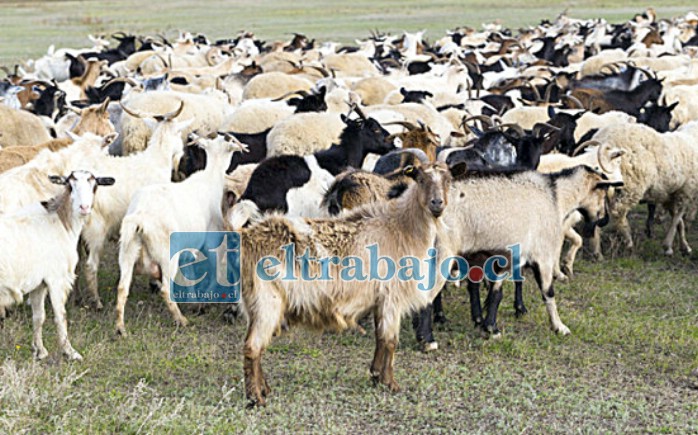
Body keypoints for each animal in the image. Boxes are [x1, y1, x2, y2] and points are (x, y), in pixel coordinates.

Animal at [0, 170, 114, 362]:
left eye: (94, 185)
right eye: (70, 185)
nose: (84, 207)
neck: (61, 223)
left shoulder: (39, 282)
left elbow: (39, 317)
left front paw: (40, 351)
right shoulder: (56, 279)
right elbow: (61, 317)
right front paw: (70, 352)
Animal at [113, 135, 246, 336]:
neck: (211, 176)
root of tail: (140, 218)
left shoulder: (187, 250)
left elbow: (190, 273)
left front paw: (194, 301)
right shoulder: (212, 240)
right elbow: (213, 267)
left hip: (128, 251)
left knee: (122, 288)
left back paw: (120, 327)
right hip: (167, 255)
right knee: (165, 290)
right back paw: (181, 320)